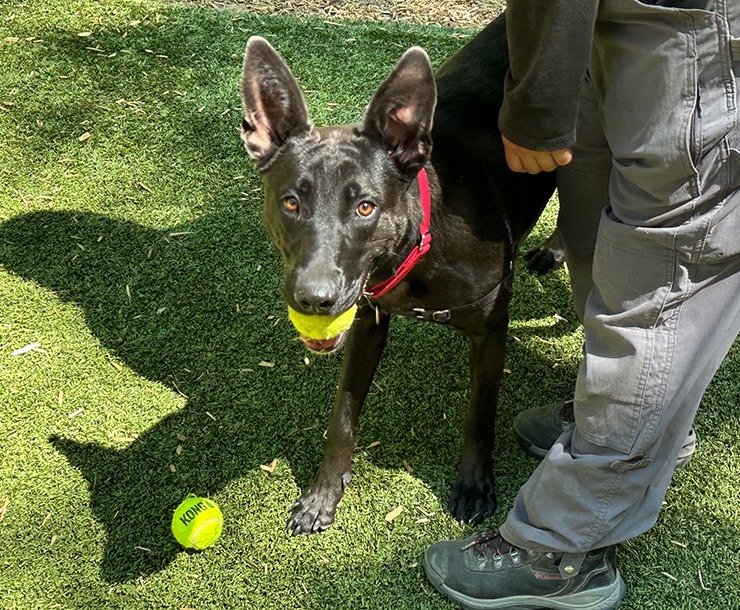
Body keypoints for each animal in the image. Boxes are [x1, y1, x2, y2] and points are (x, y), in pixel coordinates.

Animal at [241, 14, 556, 536]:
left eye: (366, 207)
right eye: (291, 202)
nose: (314, 299)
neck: (420, 247)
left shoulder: (490, 328)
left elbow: (480, 411)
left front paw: (474, 484)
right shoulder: (367, 320)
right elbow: (342, 415)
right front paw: (324, 494)